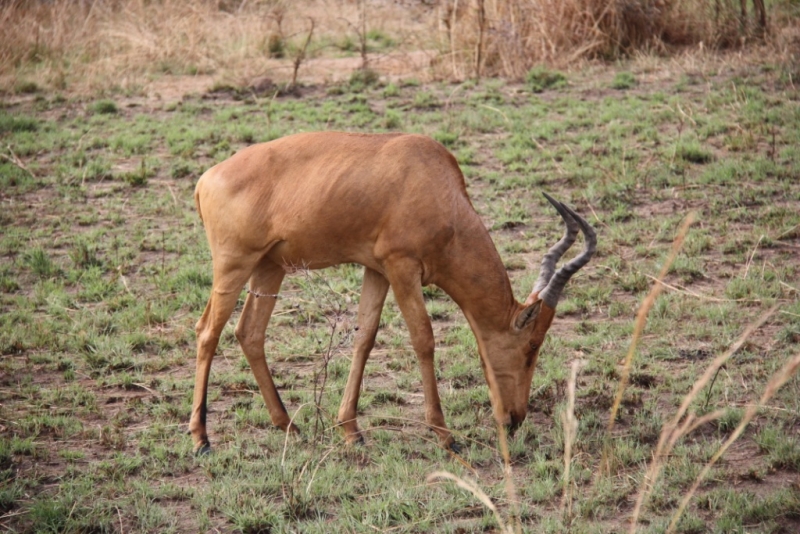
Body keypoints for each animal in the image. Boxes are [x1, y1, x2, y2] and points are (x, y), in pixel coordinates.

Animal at [192, 132, 592, 454]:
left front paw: (351, 431)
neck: (430, 178)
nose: (515, 418)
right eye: (532, 346)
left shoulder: (377, 270)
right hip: (233, 264)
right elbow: (423, 339)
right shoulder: (402, 267)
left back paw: (289, 425)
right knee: (208, 331)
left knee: (249, 332)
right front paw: (445, 435)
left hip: (269, 267)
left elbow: (365, 337)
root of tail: (205, 179)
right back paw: (201, 439)